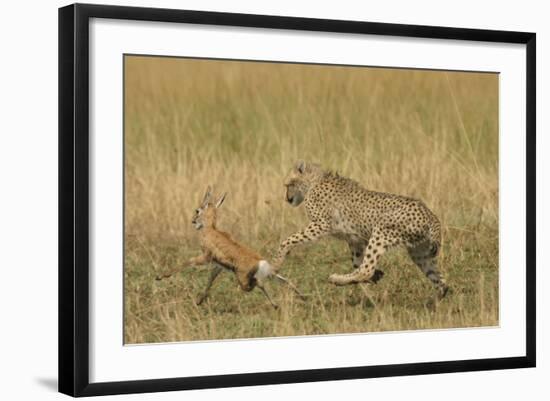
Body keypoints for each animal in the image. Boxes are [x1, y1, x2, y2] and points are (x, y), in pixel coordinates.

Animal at [274, 160, 450, 296]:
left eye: (288, 184)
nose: (288, 199)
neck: (314, 181)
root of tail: (429, 213)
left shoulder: (320, 224)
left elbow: (288, 240)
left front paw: (277, 262)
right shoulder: (355, 240)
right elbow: (357, 262)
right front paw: (377, 275)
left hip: (381, 233)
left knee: (367, 269)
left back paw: (336, 279)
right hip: (419, 252)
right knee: (441, 280)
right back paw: (436, 300)